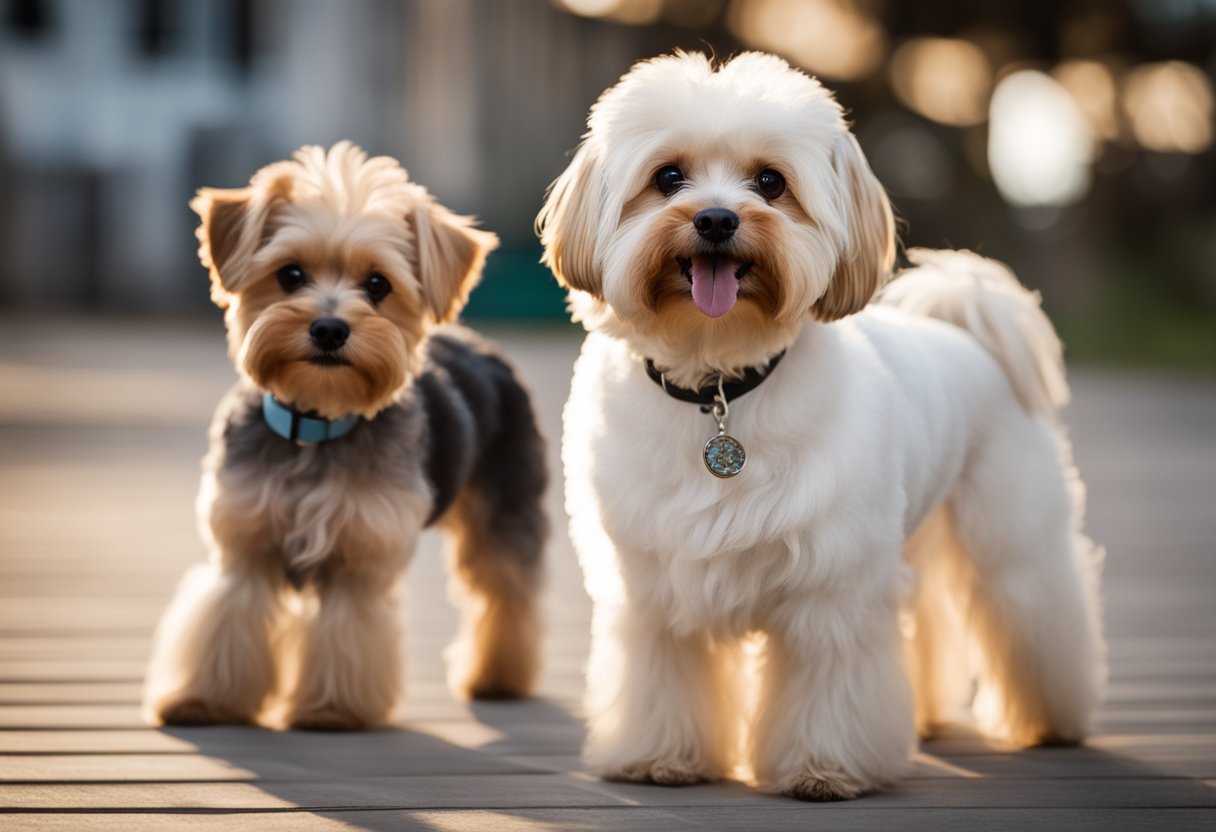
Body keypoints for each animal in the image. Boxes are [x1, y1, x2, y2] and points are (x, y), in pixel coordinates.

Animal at [537, 50, 1108, 797]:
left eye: (770, 182)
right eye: (667, 178)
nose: (716, 219)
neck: (719, 384)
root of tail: (966, 328)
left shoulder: (831, 589)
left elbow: (829, 687)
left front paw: (823, 768)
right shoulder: (656, 591)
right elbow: (665, 677)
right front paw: (661, 757)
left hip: (1008, 540)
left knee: (1034, 612)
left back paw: (1050, 721)